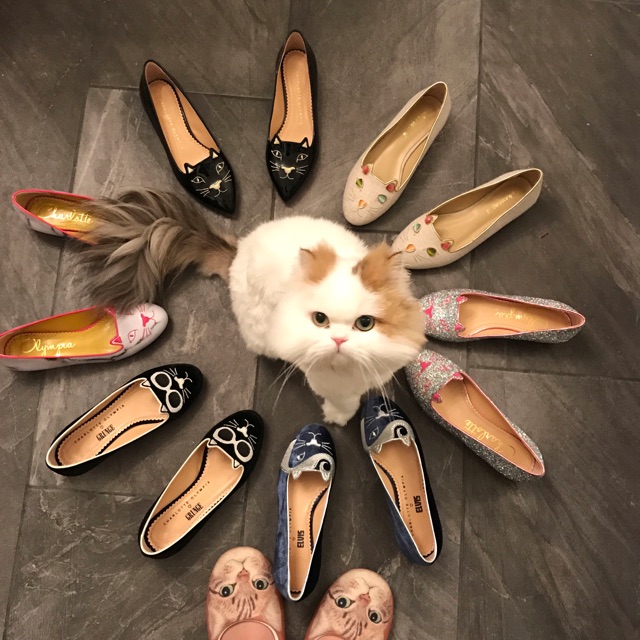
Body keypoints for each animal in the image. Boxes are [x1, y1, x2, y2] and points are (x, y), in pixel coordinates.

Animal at [77, 189, 425, 426]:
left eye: (365, 324)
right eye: (320, 320)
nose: (339, 340)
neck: (348, 373)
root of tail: (238, 251)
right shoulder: (325, 380)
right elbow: (341, 402)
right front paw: (338, 417)